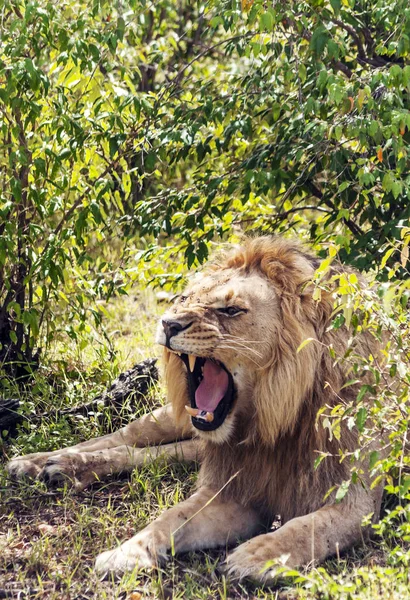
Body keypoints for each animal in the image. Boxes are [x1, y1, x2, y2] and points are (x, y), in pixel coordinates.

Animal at [7, 237, 384, 580]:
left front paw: (260, 554)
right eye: (185, 299)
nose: (168, 323)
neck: (271, 420)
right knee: (123, 436)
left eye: (231, 310)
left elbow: (307, 528)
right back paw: (44, 462)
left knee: (152, 454)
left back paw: (64, 469)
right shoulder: (233, 485)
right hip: (169, 419)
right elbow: (173, 516)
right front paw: (126, 551)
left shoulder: (356, 503)